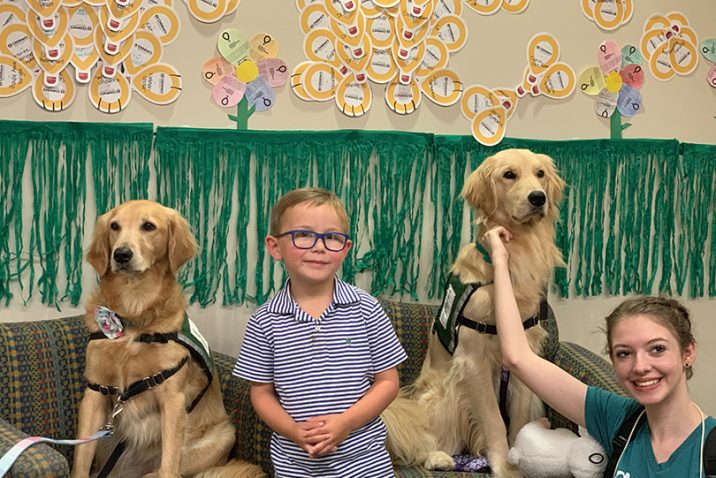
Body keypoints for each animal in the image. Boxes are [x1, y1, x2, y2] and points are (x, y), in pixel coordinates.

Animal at [72, 200, 266, 478]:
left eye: (148, 226)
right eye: (114, 226)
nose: (121, 254)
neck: (134, 318)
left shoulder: (172, 399)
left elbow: (169, 465)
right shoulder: (95, 394)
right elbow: (80, 461)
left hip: (223, 435)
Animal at [380, 149, 564, 478]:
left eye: (540, 174)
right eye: (509, 175)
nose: (538, 198)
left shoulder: (524, 357)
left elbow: (517, 422)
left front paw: (520, 458)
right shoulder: (473, 361)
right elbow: (493, 421)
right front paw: (505, 466)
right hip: (444, 392)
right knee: (419, 439)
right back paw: (437, 457)